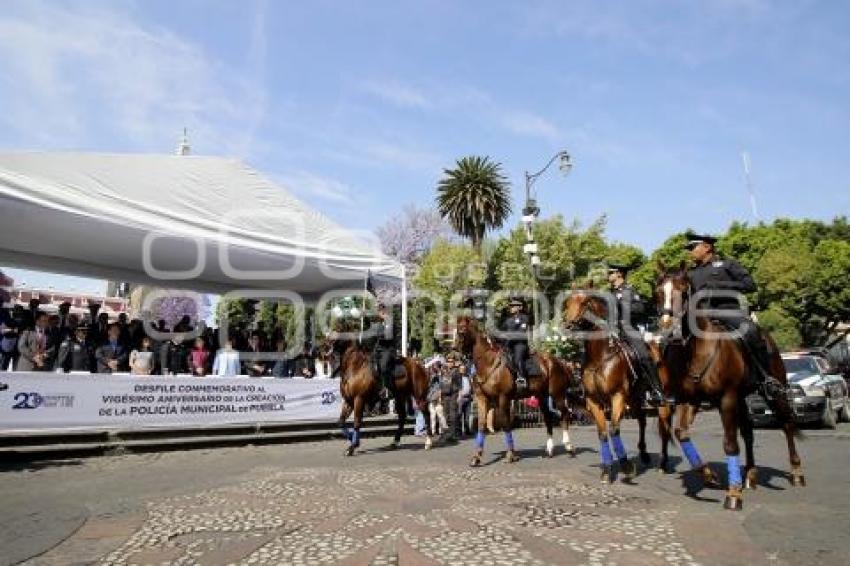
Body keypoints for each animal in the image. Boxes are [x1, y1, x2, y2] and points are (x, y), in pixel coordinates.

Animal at [450, 318, 576, 468]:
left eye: (462, 331)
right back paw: (550, 449)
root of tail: (559, 362)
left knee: (565, 413)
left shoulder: (503, 398)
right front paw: (477, 457)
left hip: (557, 395)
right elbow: (481, 425)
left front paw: (511, 455)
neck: (488, 363)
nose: (453, 352)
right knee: (548, 417)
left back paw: (569, 447)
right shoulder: (482, 398)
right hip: (542, 396)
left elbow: (505, 424)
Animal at [652, 266, 804, 510]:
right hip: (741, 399)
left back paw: (796, 472)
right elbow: (682, 433)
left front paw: (733, 494)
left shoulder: (727, 398)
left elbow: (730, 444)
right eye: (658, 292)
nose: (667, 328)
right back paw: (750, 475)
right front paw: (708, 475)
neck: (695, 350)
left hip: (773, 392)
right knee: (749, 432)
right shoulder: (689, 399)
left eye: (683, 292)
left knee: (787, 424)